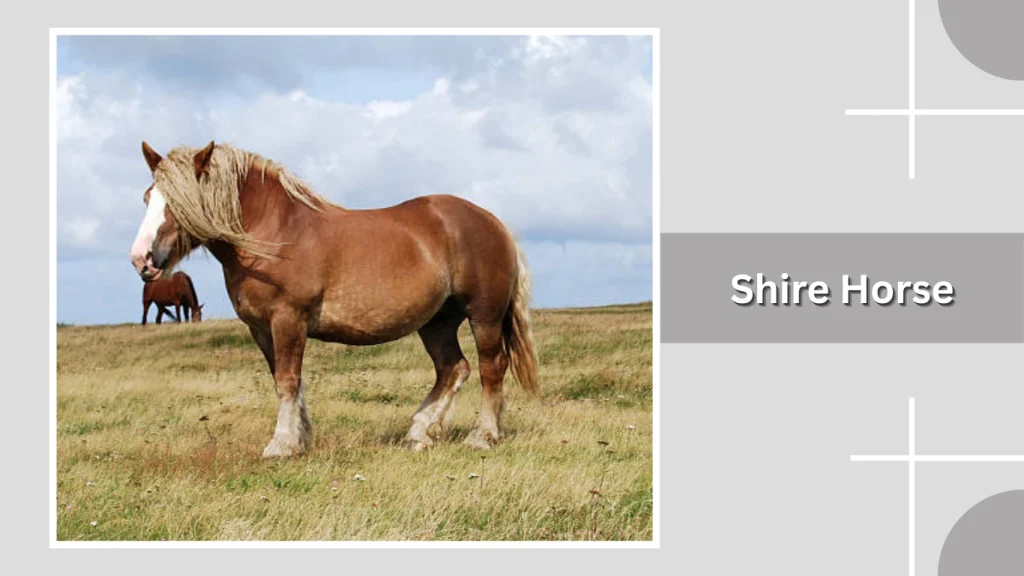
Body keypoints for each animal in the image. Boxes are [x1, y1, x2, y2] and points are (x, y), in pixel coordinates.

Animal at [128, 140, 539, 458]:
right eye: (148, 198)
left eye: (180, 202)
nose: (141, 259)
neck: (275, 235)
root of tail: (493, 221)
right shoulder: (261, 328)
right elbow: (287, 381)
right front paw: (300, 440)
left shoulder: (287, 319)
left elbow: (287, 381)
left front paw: (280, 445)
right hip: (437, 322)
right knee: (453, 368)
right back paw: (419, 433)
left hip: (484, 315)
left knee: (490, 368)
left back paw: (483, 436)